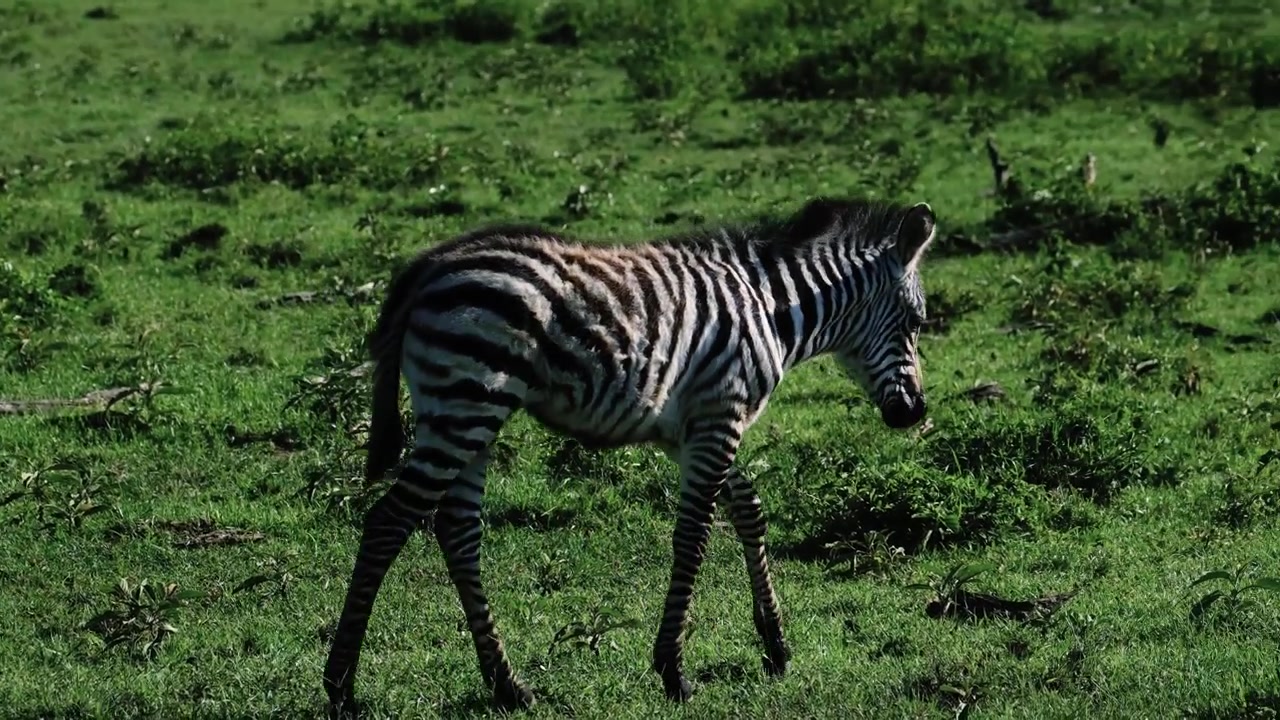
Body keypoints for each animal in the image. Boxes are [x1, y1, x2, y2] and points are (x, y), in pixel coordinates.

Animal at [322, 196, 939, 717]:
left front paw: (775, 645)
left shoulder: (693, 428)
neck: (771, 310)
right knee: (388, 522)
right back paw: (342, 684)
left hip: (464, 410)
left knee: (457, 532)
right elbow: (693, 537)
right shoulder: (721, 415)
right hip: (469, 399)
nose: (914, 413)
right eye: (916, 323)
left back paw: (506, 685)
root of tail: (431, 264)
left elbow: (748, 508)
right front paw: (674, 671)